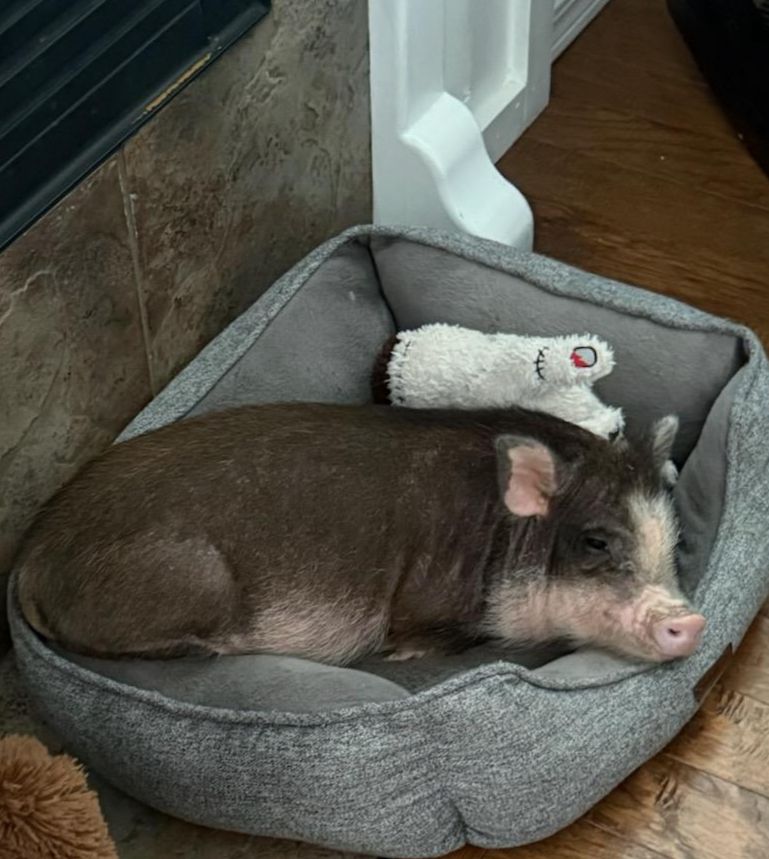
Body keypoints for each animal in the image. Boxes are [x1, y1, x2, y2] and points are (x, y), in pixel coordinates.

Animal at [15, 403, 705, 665]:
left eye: (672, 543)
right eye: (596, 542)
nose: (692, 622)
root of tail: (27, 560)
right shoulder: (420, 607)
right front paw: (401, 657)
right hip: (193, 578)